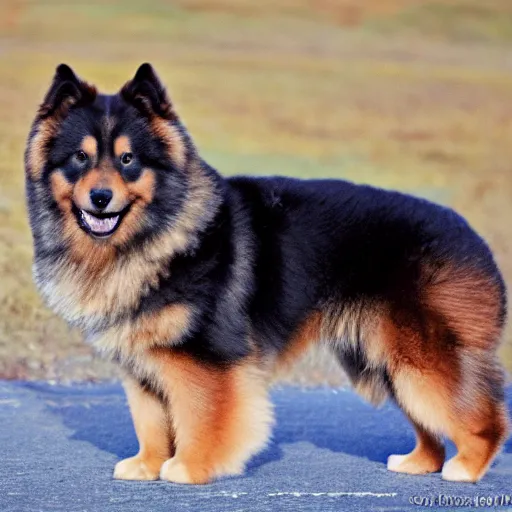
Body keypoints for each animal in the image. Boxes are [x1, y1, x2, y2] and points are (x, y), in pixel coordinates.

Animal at [25, 64, 508, 484]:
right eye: (79, 158)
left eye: (128, 160)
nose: (100, 197)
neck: (155, 232)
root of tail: (474, 240)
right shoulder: (143, 362)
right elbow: (151, 421)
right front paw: (147, 465)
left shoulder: (208, 358)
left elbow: (200, 417)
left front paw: (190, 468)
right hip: (388, 358)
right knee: (432, 426)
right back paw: (418, 463)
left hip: (419, 358)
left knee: (484, 418)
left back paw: (467, 467)